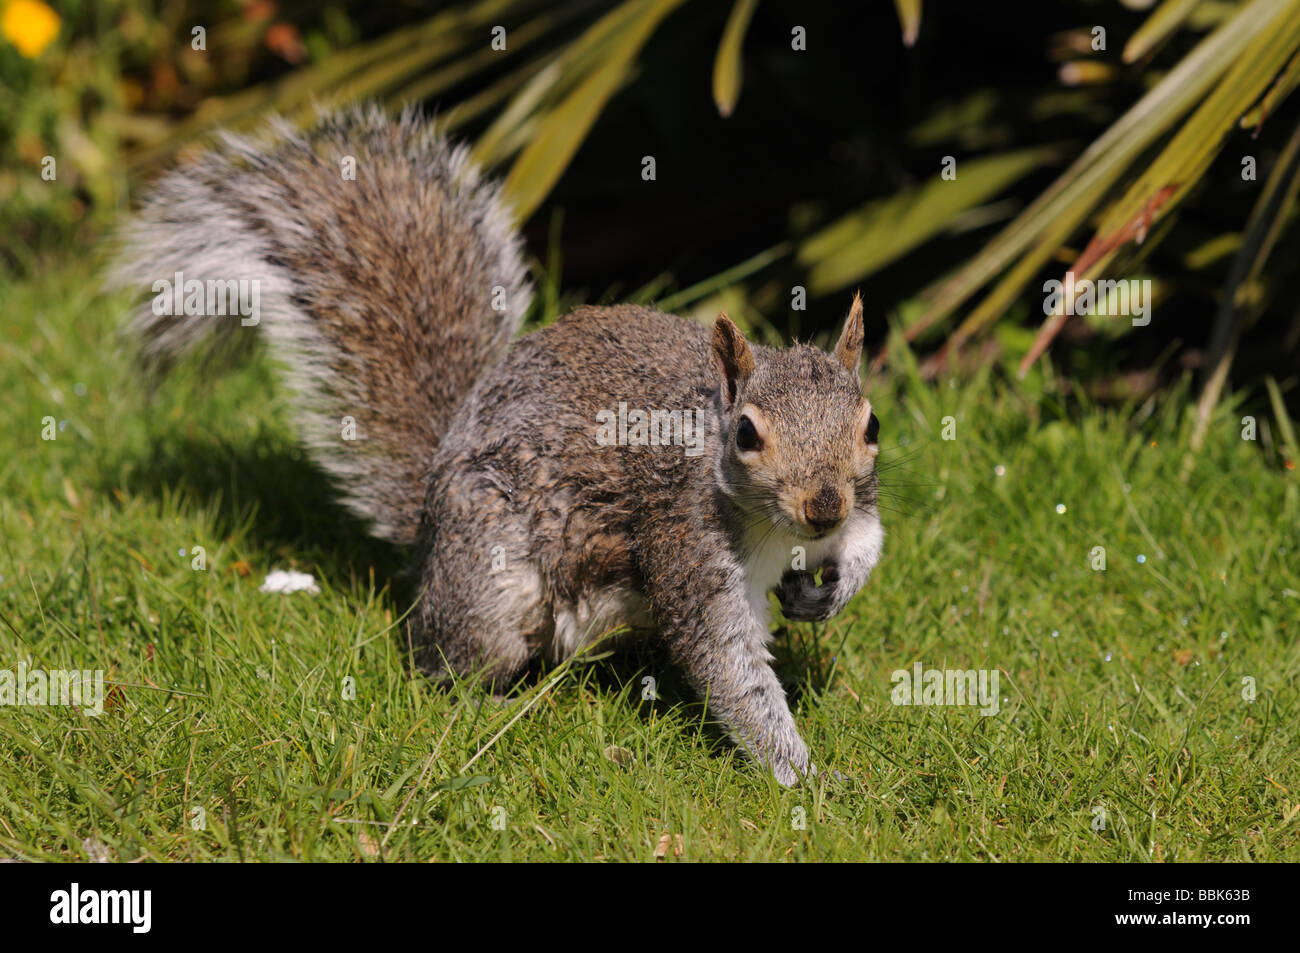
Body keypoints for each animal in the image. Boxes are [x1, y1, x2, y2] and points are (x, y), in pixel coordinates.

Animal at [111, 106, 885, 786]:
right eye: (748, 434)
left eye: (871, 425)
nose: (822, 507)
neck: (774, 529)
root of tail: (429, 514)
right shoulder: (689, 546)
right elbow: (731, 669)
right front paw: (802, 775)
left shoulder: (858, 504)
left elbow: (868, 537)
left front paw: (832, 589)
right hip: (493, 576)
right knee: (442, 660)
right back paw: (488, 702)